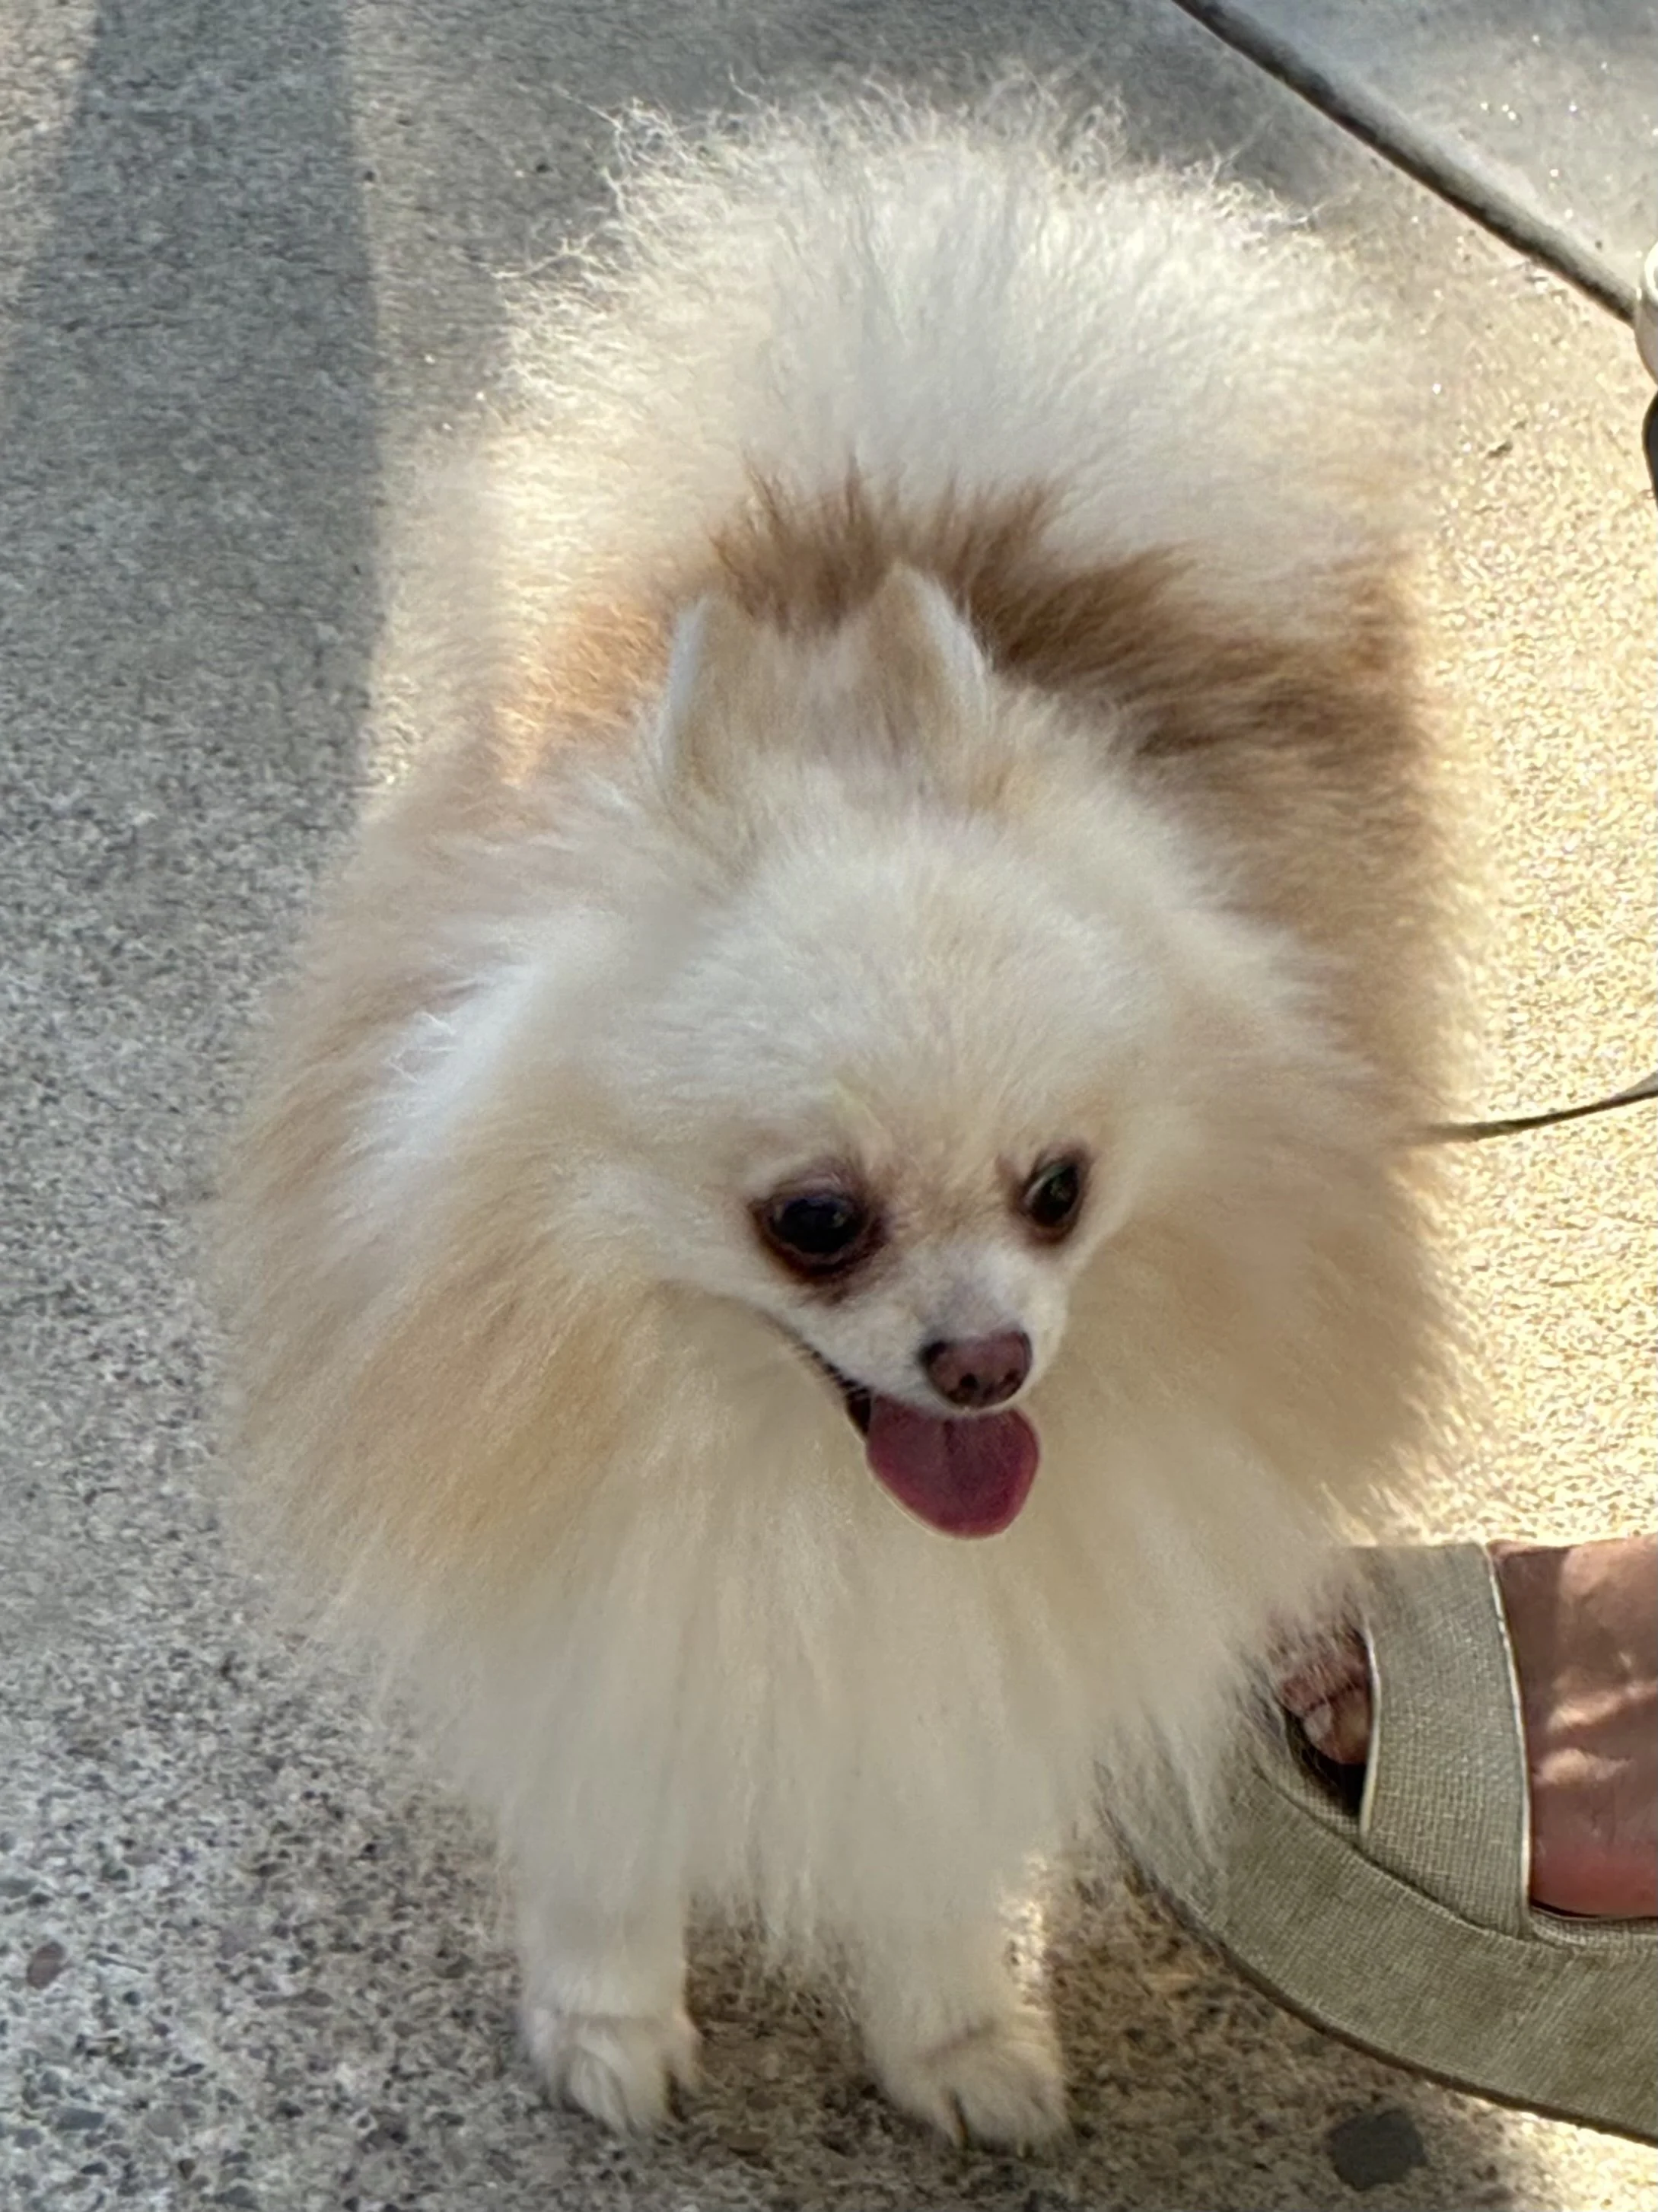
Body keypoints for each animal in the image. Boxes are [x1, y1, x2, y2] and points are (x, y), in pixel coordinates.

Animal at [222, 94, 1453, 2146]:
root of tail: (948, 464)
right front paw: (609, 2016)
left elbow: (942, 1832)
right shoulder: (586, 1590)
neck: (792, 1484)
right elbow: (606, 1818)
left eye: (1059, 1190)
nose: (988, 1361)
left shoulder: (982, 1632)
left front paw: (953, 2038)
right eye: (815, 1218)